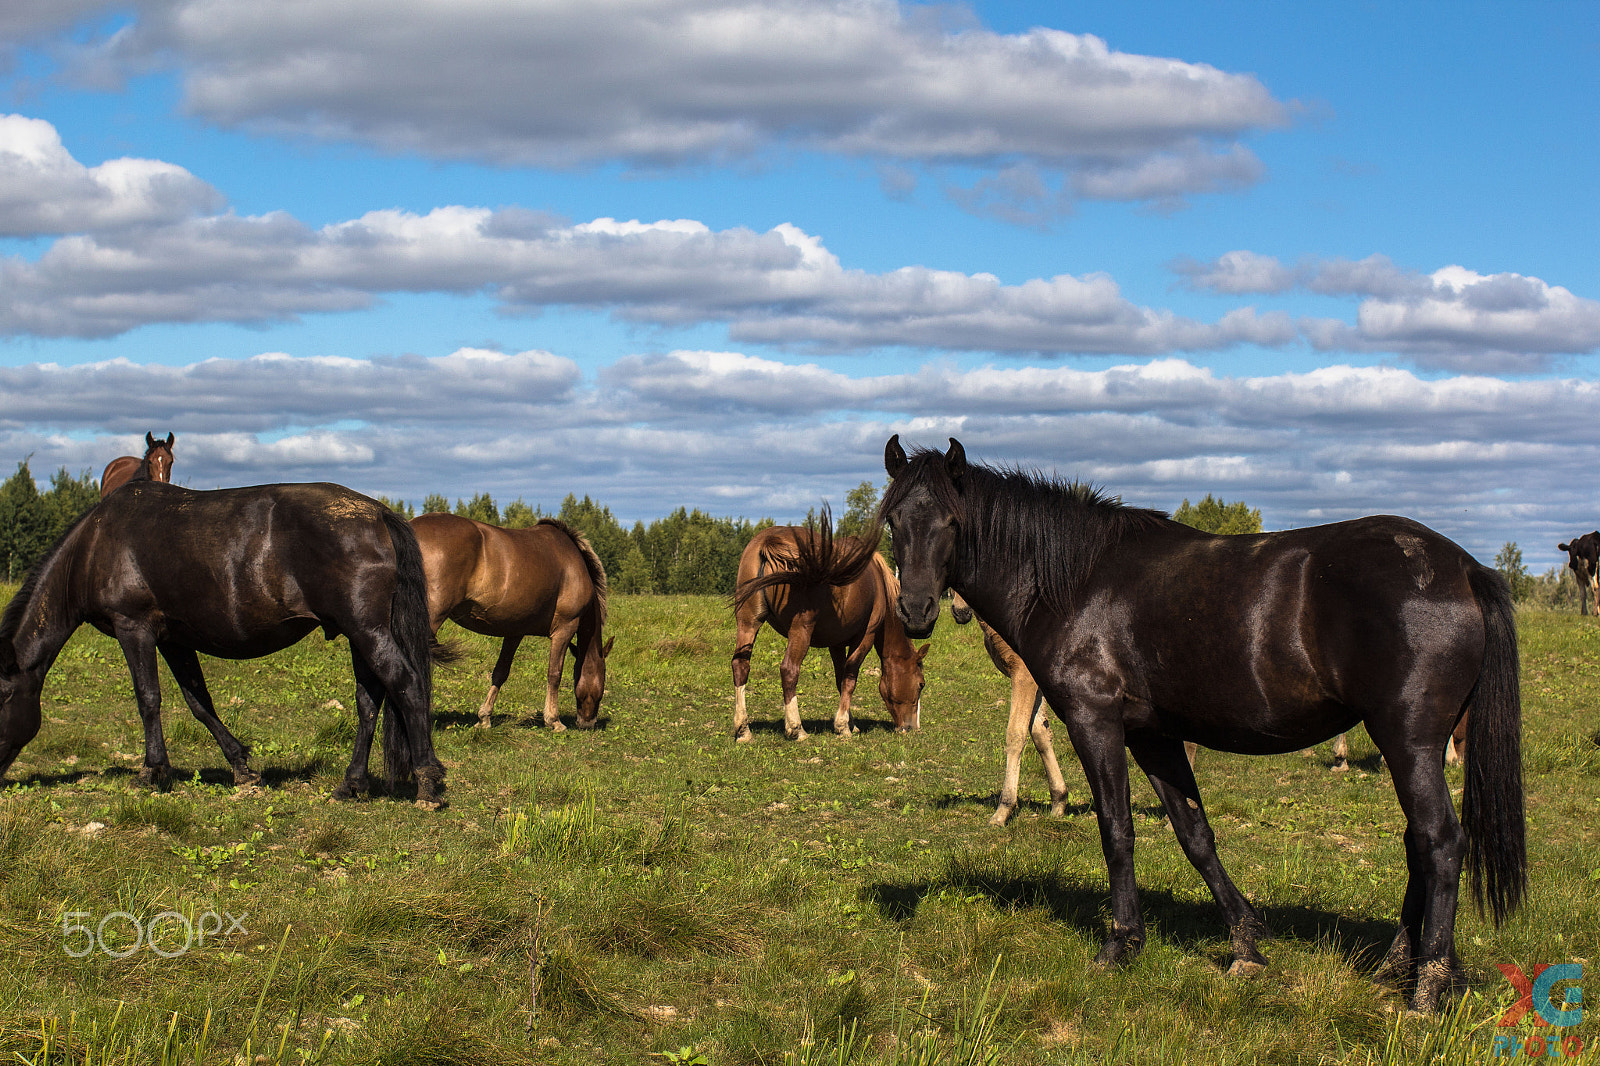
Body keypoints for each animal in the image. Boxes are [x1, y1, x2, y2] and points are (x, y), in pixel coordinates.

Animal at [0, 481, 447, 807]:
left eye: (2, 697)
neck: (93, 546)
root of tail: (379, 513)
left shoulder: (134, 628)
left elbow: (148, 699)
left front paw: (151, 772)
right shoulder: (174, 640)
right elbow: (199, 702)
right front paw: (242, 768)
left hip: (367, 630)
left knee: (406, 685)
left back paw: (428, 783)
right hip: (358, 633)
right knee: (369, 699)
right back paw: (351, 784)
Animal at [411, 513, 612, 731]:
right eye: (603, 678)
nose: (588, 723)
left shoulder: (515, 632)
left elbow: (501, 672)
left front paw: (484, 718)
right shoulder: (565, 629)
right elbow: (554, 674)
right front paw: (554, 720)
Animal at [730, 514, 928, 742]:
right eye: (921, 684)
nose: (912, 727)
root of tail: (770, 540)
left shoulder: (836, 643)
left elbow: (840, 678)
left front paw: (850, 723)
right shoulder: (865, 637)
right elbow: (850, 677)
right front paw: (843, 726)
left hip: (747, 623)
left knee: (740, 666)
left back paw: (743, 729)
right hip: (801, 629)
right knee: (789, 670)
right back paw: (796, 728)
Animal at [880, 436, 1524, 1013]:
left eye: (952, 522)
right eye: (893, 521)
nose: (916, 609)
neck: (1075, 581)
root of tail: (1464, 568)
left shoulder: (1095, 721)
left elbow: (1117, 830)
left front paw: (1121, 943)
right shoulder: (1153, 735)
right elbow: (1195, 834)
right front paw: (1245, 946)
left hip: (1408, 739)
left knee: (1440, 841)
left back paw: (1427, 988)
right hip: (1406, 744)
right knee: (1419, 840)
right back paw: (1398, 965)